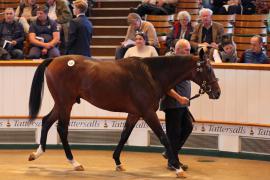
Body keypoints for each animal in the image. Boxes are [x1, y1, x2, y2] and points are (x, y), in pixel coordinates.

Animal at [28, 51, 220, 178]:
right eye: (208, 69)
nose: (217, 93)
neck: (151, 75)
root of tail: (54, 60)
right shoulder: (148, 113)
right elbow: (163, 137)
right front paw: (178, 167)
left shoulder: (135, 113)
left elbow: (124, 135)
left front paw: (118, 162)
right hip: (65, 103)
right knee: (62, 129)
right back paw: (74, 163)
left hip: (62, 103)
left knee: (46, 121)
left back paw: (37, 153)